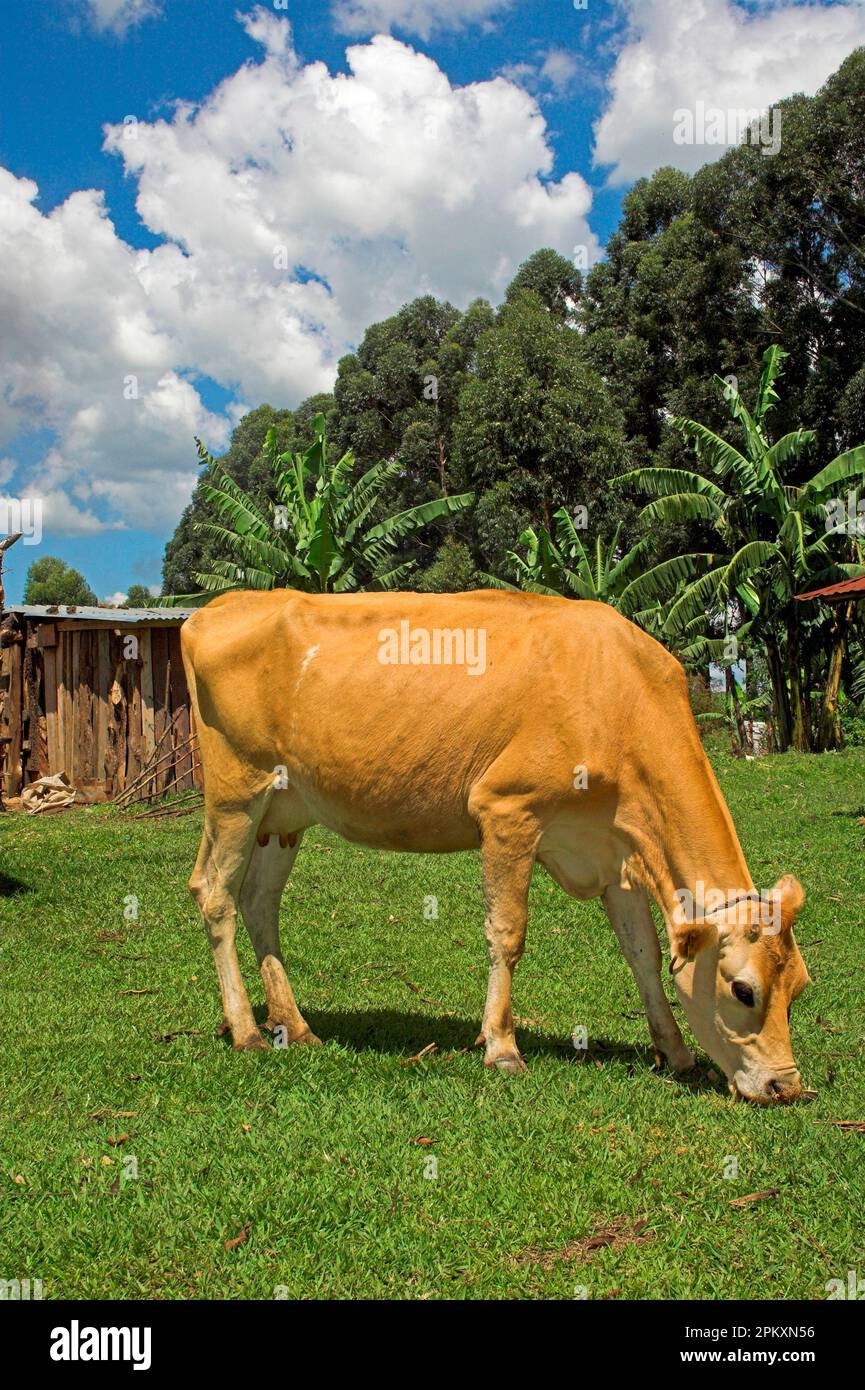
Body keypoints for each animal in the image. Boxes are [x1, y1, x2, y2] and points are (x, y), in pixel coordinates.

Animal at [183, 589, 812, 1106]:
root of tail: (216, 608)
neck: (617, 695)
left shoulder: (615, 851)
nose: (784, 1086)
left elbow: (644, 954)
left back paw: (294, 1025)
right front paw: (502, 1047)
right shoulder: (508, 810)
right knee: (214, 893)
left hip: (283, 813)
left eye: (800, 988)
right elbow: (508, 934)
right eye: (743, 990)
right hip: (236, 792)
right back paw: (246, 1030)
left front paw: (675, 1052)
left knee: (259, 901)